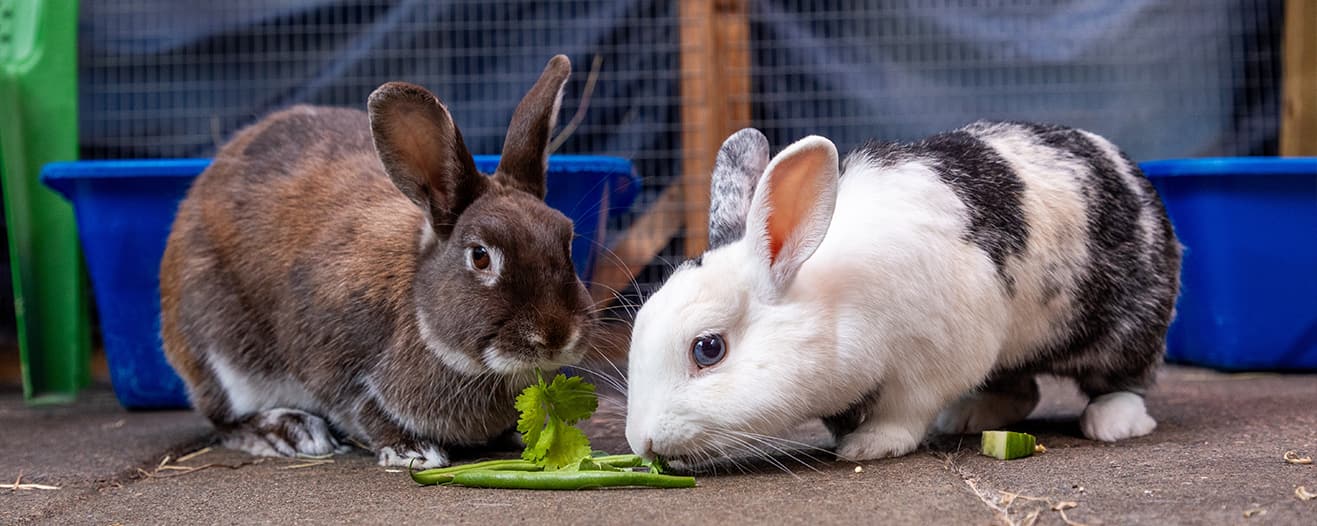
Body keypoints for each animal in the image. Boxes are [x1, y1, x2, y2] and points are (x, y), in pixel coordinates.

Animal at [159, 55, 597, 468]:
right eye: (480, 256)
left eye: (567, 240)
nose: (556, 335)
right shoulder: (331, 362)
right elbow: (362, 409)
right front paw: (413, 451)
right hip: (219, 352)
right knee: (222, 420)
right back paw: (289, 432)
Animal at [625, 121, 1181, 463]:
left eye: (708, 349)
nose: (642, 441)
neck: (835, 301)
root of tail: (1127, 168)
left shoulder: (933, 361)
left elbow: (904, 412)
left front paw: (867, 446)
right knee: (1024, 389)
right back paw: (969, 416)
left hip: (1127, 326)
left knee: (1124, 379)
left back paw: (1111, 422)